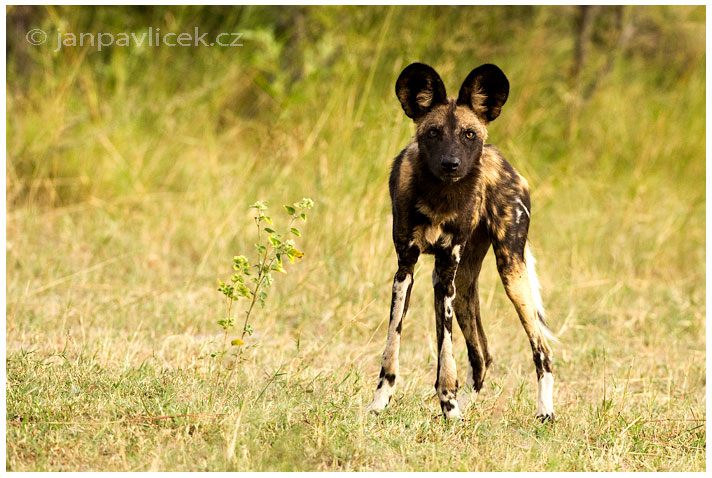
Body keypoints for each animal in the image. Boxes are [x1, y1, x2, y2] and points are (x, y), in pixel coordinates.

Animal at [368, 63, 556, 422]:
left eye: (469, 135)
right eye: (433, 133)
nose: (451, 164)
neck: (441, 197)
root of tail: (506, 164)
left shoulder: (446, 271)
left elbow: (446, 354)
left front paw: (450, 408)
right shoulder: (407, 269)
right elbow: (392, 346)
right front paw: (379, 403)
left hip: (510, 274)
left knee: (542, 350)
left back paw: (545, 412)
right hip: (464, 285)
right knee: (482, 354)